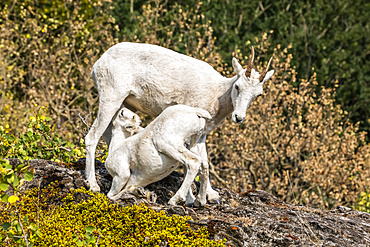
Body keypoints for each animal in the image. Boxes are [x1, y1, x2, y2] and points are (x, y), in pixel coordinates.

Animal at [85, 42, 274, 204]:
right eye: (237, 86)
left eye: (258, 94)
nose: (239, 117)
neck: (217, 94)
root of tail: (98, 63)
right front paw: (190, 198)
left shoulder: (201, 135)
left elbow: (205, 162)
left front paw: (210, 197)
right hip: (111, 99)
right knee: (92, 137)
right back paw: (93, 185)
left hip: (125, 105)